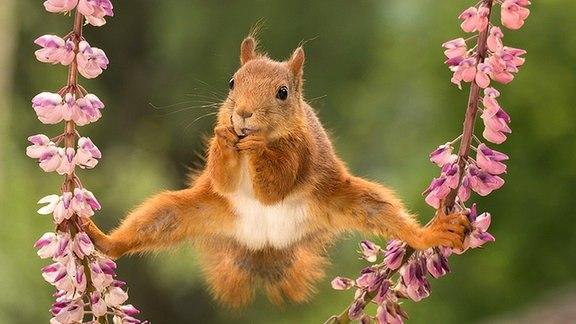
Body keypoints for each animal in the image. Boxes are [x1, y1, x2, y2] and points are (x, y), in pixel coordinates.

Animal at [84, 36, 468, 308]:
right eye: (232, 82)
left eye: (282, 93)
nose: (242, 114)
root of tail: (264, 245)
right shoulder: (222, 171)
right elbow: (223, 178)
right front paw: (225, 137)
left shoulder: (301, 151)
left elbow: (275, 187)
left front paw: (257, 149)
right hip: (190, 210)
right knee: (153, 221)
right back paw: (100, 238)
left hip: (347, 199)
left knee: (385, 214)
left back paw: (431, 233)